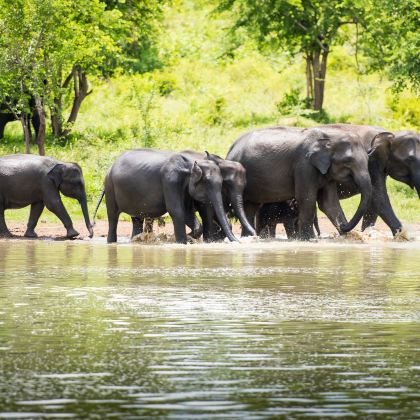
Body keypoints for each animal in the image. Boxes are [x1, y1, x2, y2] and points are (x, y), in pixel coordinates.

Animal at [96, 149, 238, 244]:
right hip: (110, 187)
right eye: (207, 183)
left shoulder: (184, 188)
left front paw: (190, 237)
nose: (238, 242)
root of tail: (110, 167)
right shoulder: (170, 181)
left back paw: (135, 240)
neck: (191, 163)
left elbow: (188, 212)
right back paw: (112, 242)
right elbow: (177, 211)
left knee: (136, 219)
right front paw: (182, 242)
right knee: (112, 217)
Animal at [225, 125, 372, 240]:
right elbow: (307, 198)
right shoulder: (304, 165)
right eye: (348, 161)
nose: (344, 225)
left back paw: (248, 237)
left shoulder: (325, 172)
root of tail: (231, 148)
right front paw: (309, 239)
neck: (329, 136)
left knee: (250, 207)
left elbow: (329, 203)